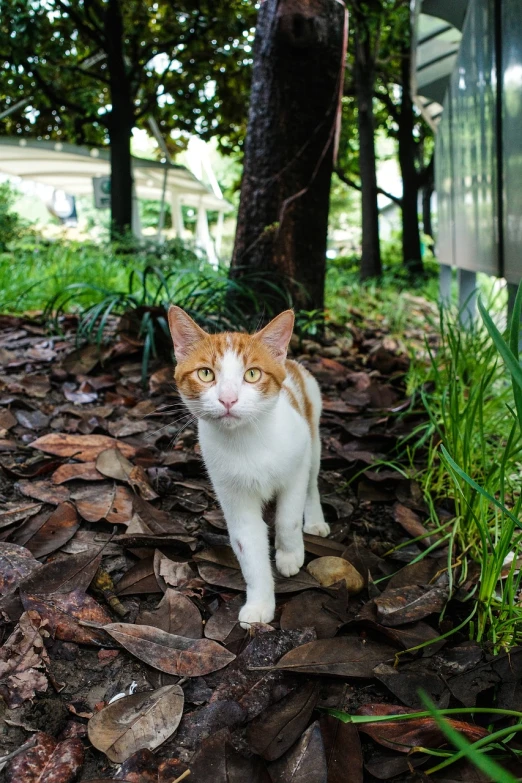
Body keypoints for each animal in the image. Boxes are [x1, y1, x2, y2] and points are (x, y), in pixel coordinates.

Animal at [168, 308, 330, 632]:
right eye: (206, 373)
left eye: (252, 374)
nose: (228, 399)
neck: (247, 442)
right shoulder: (232, 495)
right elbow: (249, 546)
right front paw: (259, 604)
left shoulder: (296, 466)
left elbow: (288, 519)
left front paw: (289, 554)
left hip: (313, 435)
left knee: (311, 484)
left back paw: (315, 520)